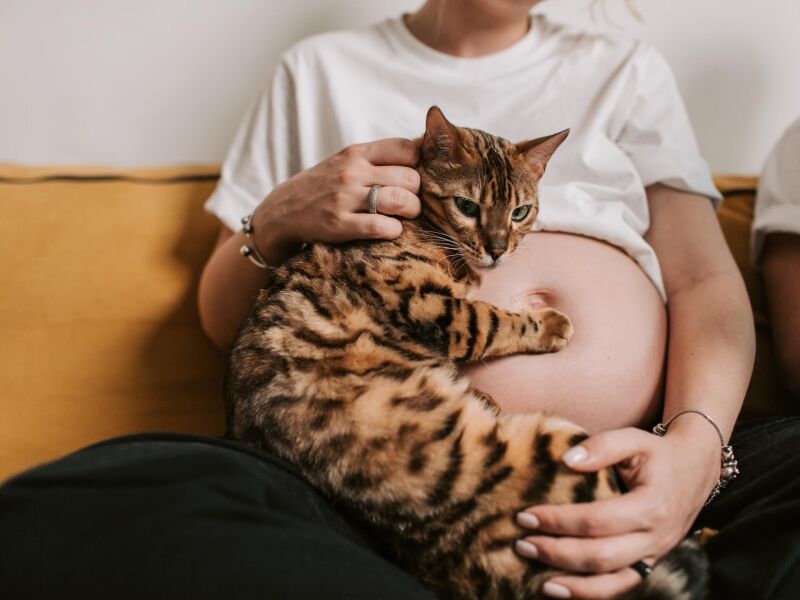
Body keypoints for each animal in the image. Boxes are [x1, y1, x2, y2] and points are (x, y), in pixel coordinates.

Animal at [223, 108, 708, 600]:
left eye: (520, 212)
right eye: (468, 207)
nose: (497, 250)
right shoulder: (428, 306)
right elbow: (491, 321)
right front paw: (550, 324)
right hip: (563, 444)